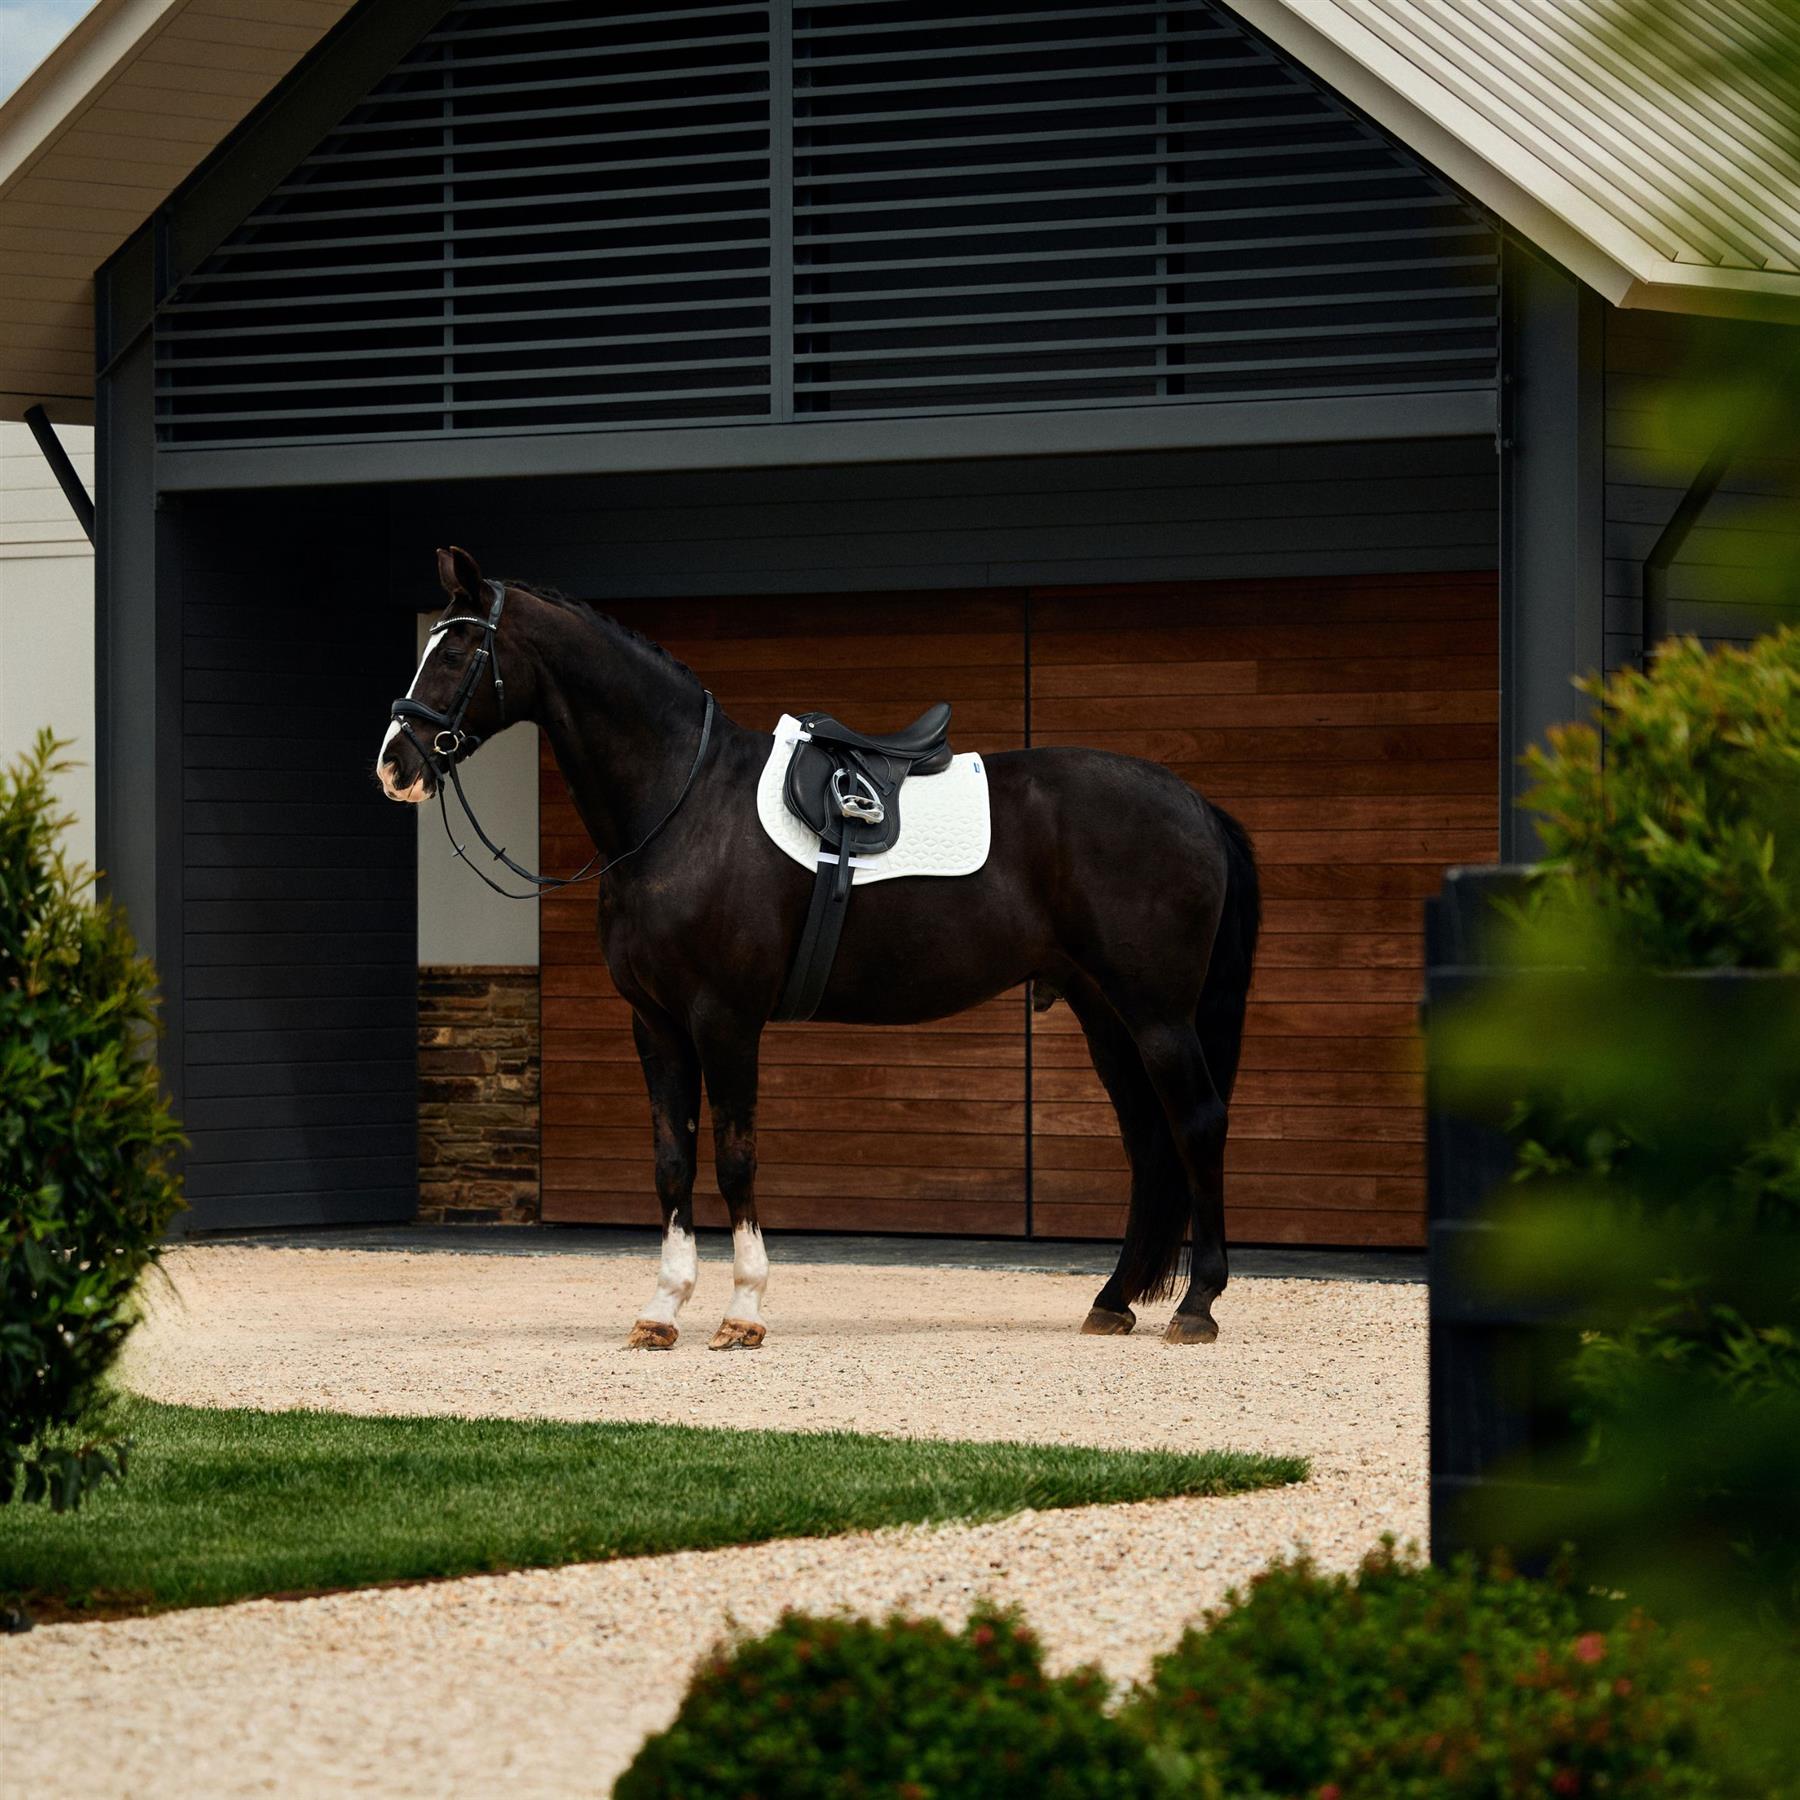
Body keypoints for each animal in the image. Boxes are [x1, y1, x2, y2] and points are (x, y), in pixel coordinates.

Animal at [377, 546, 1260, 1352]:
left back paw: (1197, 1306)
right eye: (429, 645)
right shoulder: (656, 1024)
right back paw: (1113, 1301)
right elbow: (671, 1161)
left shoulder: (726, 1019)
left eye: (456, 650)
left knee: (1198, 1123)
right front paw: (662, 1310)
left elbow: (735, 1158)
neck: (683, 806)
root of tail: (1196, 804)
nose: (394, 764)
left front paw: (742, 1312)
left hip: (1157, 1014)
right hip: (1103, 1009)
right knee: (1148, 1140)